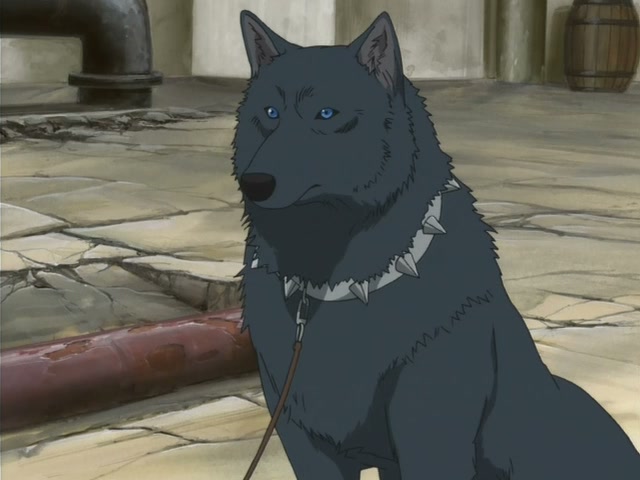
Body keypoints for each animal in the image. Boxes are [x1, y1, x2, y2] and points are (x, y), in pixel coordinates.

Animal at [232, 10, 640, 480]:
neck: (333, 279)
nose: (255, 183)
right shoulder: (304, 440)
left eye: (326, 113)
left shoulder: (431, 435)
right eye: (270, 113)